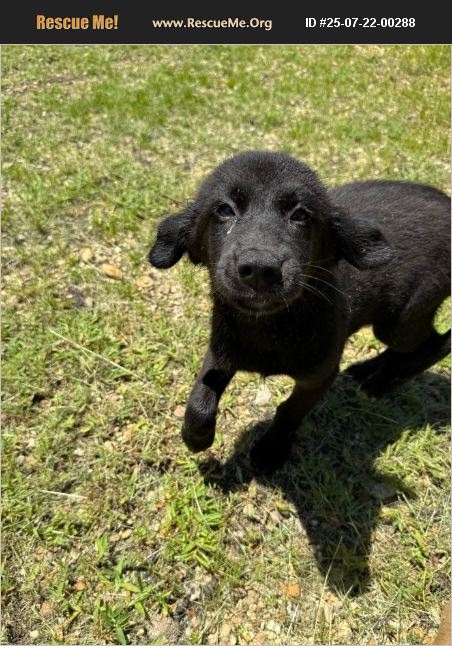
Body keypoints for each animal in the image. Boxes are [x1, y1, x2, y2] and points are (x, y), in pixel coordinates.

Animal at [149, 151, 450, 472]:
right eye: (224, 210)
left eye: (300, 215)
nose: (260, 269)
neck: (268, 327)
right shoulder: (221, 350)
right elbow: (199, 397)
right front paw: (195, 437)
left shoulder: (320, 375)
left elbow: (290, 411)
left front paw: (269, 451)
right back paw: (367, 371)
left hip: (400, 320)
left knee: (437, 343)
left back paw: (382, 382)